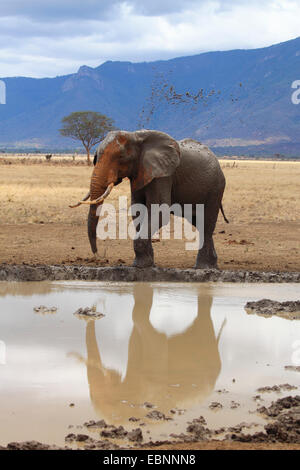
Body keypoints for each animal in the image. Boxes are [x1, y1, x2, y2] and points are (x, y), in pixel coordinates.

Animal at [70, 129, 229, 268]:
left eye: (121, 158)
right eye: (96, 156)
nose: (99, 256)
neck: (135, 136)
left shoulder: (162, 175)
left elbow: (159, 212)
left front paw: (140, 266)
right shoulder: (140, 172)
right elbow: (138, 211)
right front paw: (145, 264)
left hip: (216, 187)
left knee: (207, 223)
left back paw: (204, 267)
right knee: (199, 223)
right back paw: (211, 266)